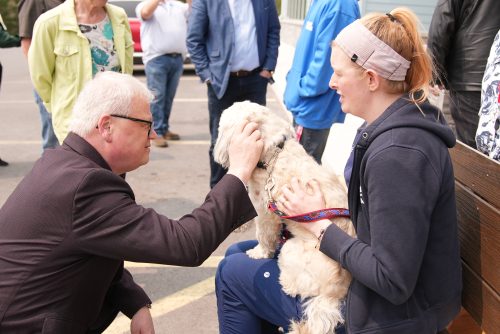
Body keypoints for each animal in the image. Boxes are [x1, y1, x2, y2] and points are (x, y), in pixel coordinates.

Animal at [214, 102, 356, 334]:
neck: (274, 153)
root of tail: (332, 297)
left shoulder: (265, 211)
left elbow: (264, 235)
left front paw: (259, 253)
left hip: (290, 250)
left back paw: (285, 281)